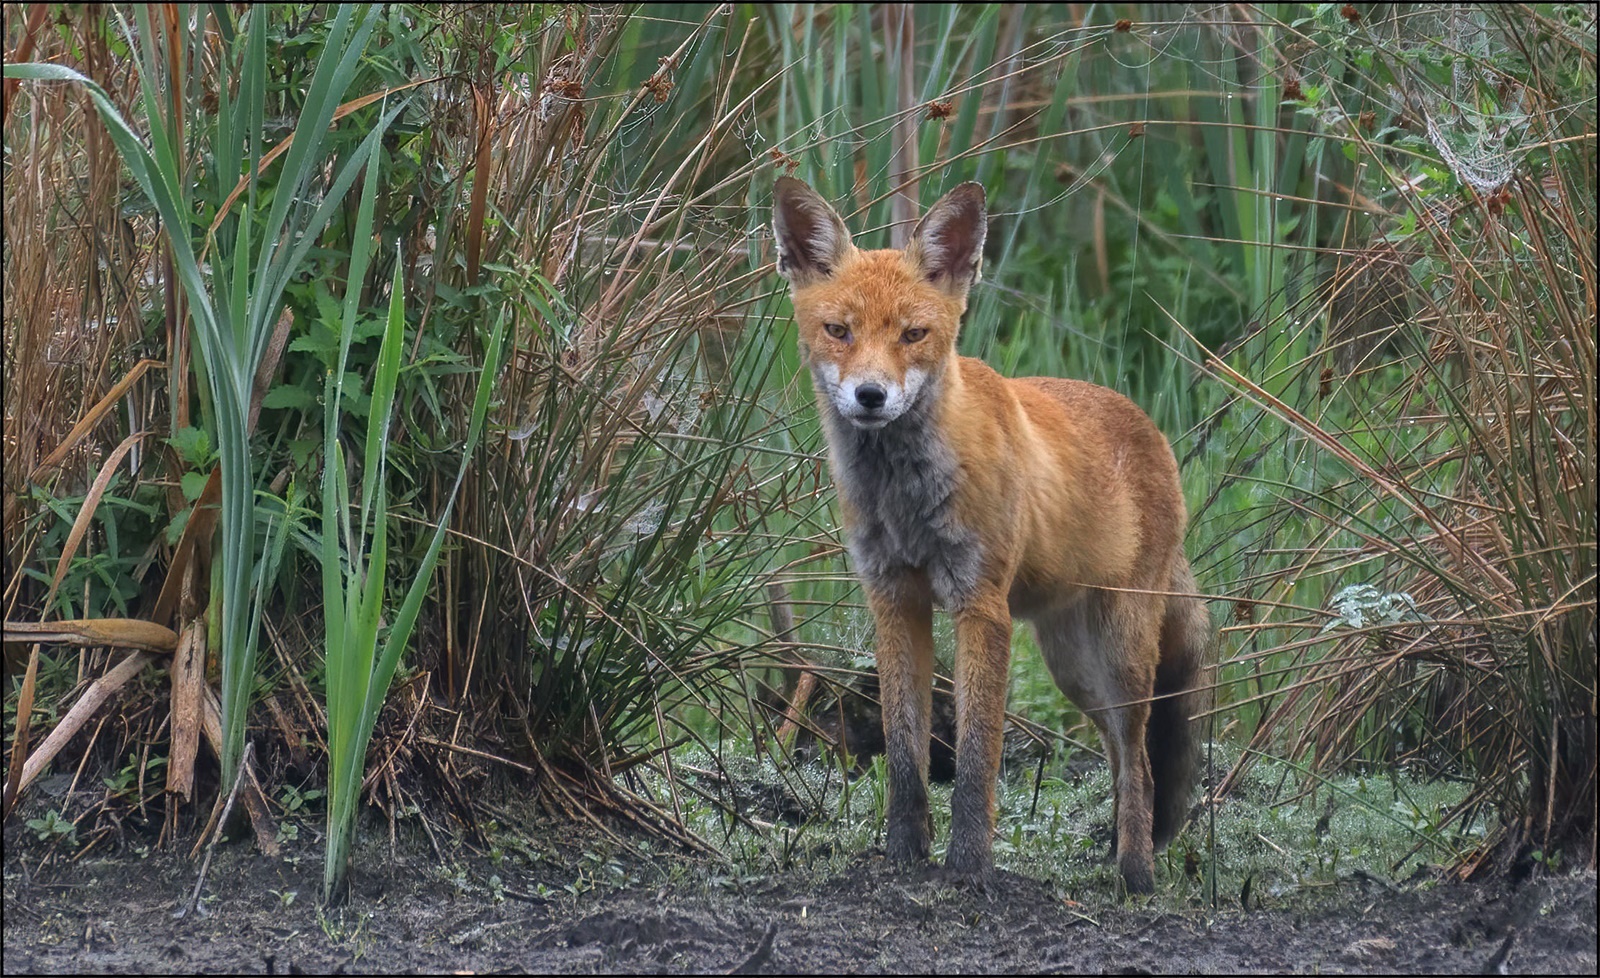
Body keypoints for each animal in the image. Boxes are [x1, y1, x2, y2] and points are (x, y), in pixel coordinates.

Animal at [768, 177, 1203, 896]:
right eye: (838, 331)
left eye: (914, 334)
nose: (870, 395)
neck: (906, 501)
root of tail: (1153, 431)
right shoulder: (895, 600)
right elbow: (905, 752)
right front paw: (904, 853)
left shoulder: (981, 606)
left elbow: (976, 759)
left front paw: (969, 866)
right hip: (1073, 667)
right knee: (1122, 758)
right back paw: (1117, 852)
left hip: (1120, 652)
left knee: (1139, 761)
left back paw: (1135, 874)